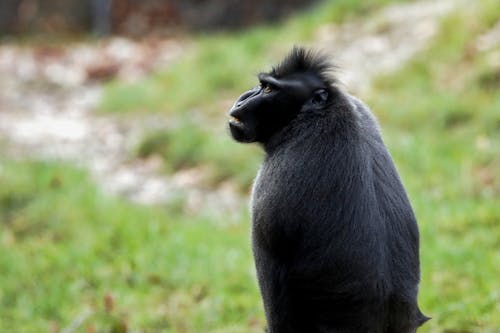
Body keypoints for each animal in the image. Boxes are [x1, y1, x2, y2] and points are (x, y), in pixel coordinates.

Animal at [229, 47, 428, 332]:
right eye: (261, 85)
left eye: (267, 88)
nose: (242, 99)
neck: (316, 113)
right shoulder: (362, 109)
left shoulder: (271, 183)